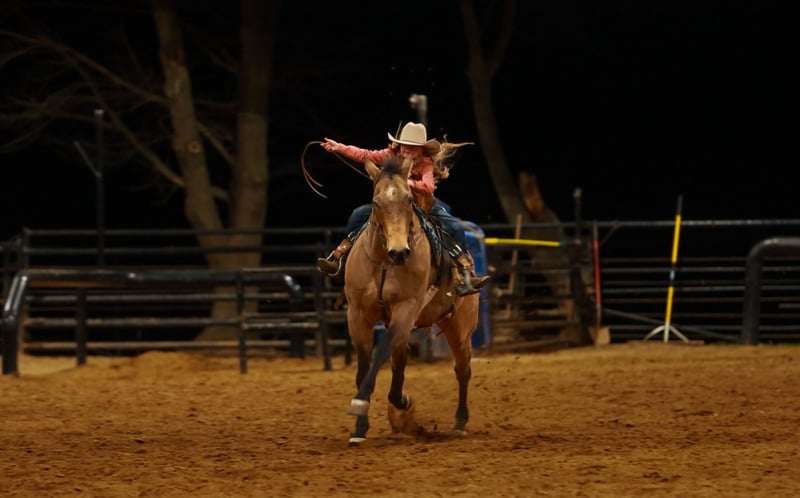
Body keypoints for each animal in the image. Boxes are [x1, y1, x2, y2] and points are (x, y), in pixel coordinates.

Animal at [343, 155, 480, 444]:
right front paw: (360, 428)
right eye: (376, 202)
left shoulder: (405, 310)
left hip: (460, 327)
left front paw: (367, 405)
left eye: (408, 199)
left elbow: (380, 354)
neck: (384, 262)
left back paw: (460, 421)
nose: (399, 252)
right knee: (400, 361)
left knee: (462, 370)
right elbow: (365, 367)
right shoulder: (357, 315)